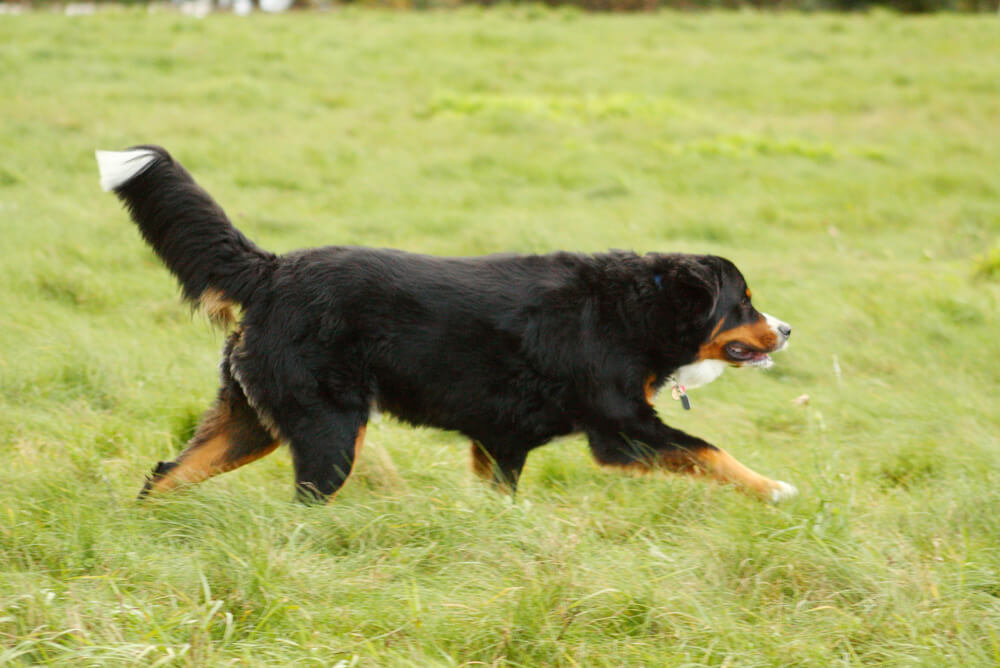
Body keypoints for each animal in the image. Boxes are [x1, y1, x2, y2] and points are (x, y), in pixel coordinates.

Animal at [95, 144, 796, 504]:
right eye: (744, 302)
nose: (787, 330)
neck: (635, 309)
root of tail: (273, 271)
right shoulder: (621, 427)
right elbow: (711, 452)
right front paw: (778, 489)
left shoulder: (500, 440)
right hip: (329, 428)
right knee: (306, 498)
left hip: (250, 419)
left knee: (166, 474)